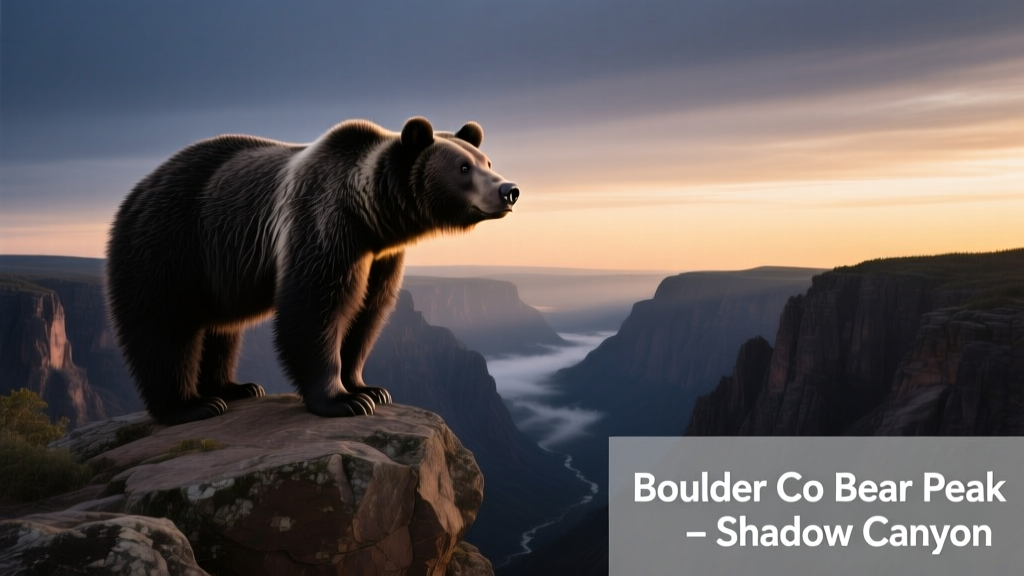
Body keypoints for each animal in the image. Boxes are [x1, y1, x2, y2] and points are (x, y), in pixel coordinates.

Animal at [106, 117, 519, 425]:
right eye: (463, 167)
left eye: (487, 162)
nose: (509, 190)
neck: (371, 216)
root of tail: (136, 190)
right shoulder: (324, 222)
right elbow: (316, 305)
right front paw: (342, 401)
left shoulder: (380, 256)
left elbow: (368, 313)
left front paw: (368, 389)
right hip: (171, 244)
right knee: (164, 326)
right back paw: (191, 405)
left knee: (221, 330)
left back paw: (233, 388)